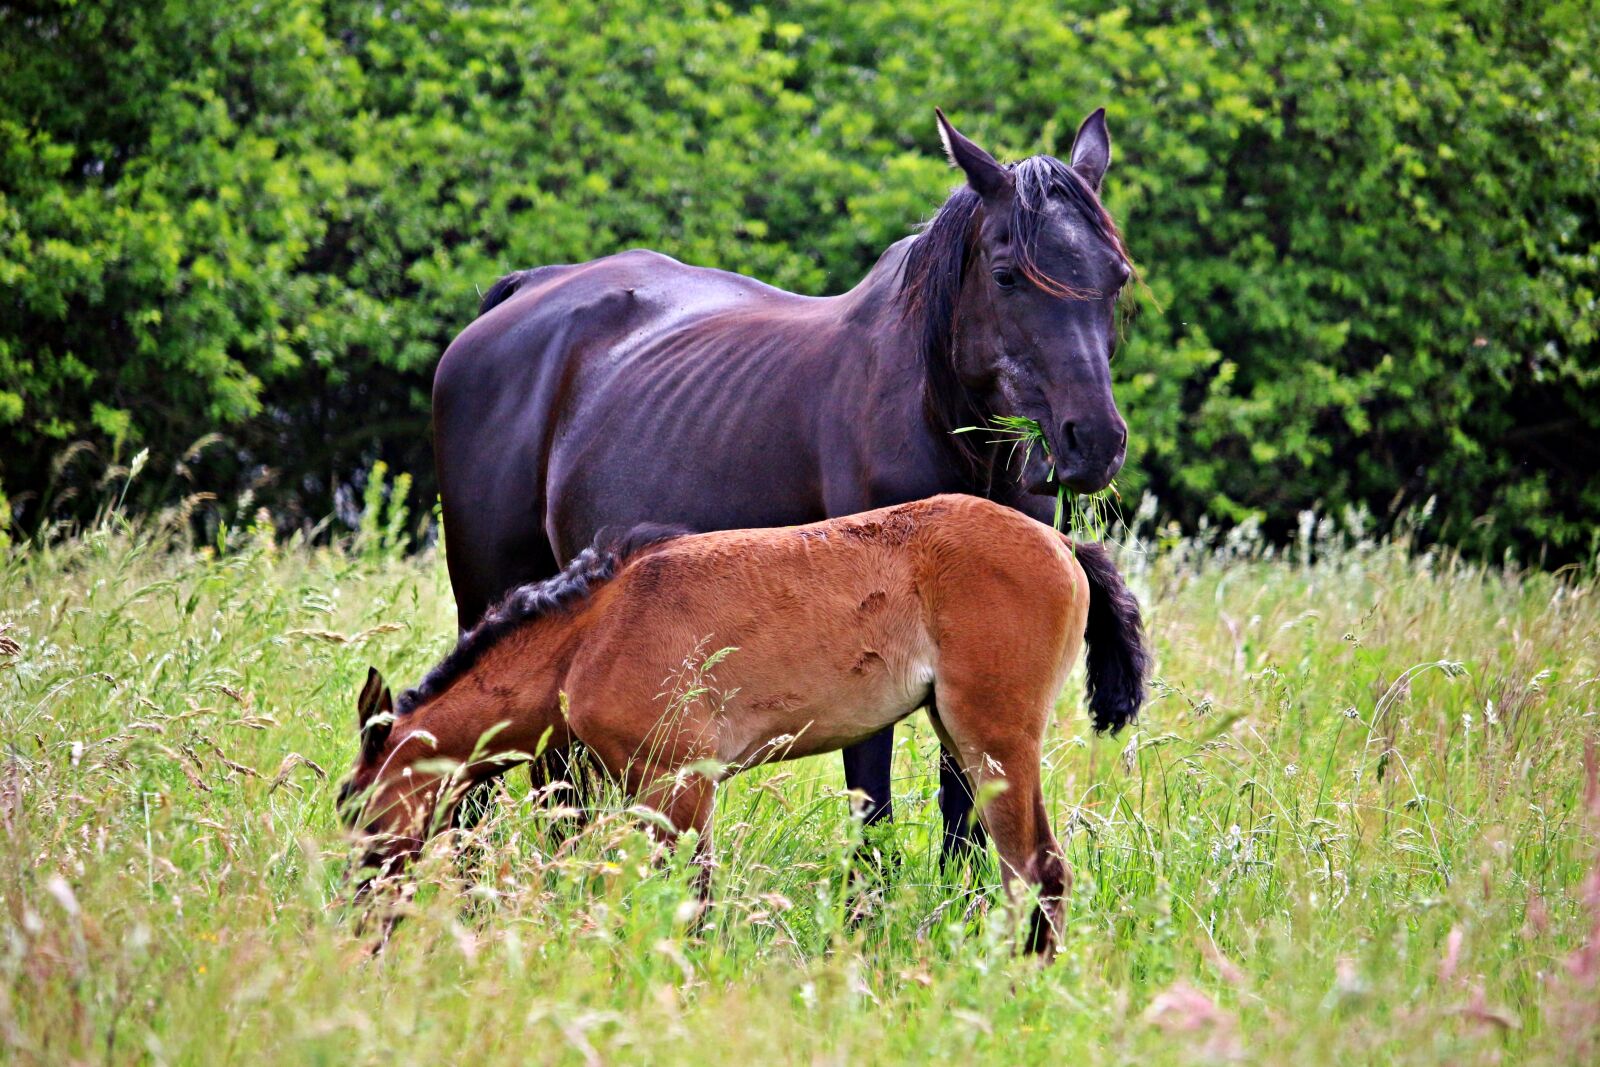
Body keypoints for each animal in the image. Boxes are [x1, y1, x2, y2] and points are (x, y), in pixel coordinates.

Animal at [338, 495, 1148, 956]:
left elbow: (691, 900)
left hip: (996, 739)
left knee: (1040, 869)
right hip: (962, 735)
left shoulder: (681, 782)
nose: (362, 915)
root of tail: (1063, 544)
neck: (592, 633)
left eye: (356, 806)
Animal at [431, 107, 1137, 859]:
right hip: (487, 595)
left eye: (1117, 278)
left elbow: (965, 809)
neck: (936, 416)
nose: (1094, 440)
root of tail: (525, 293)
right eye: (1006, 276)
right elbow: (872, 797)